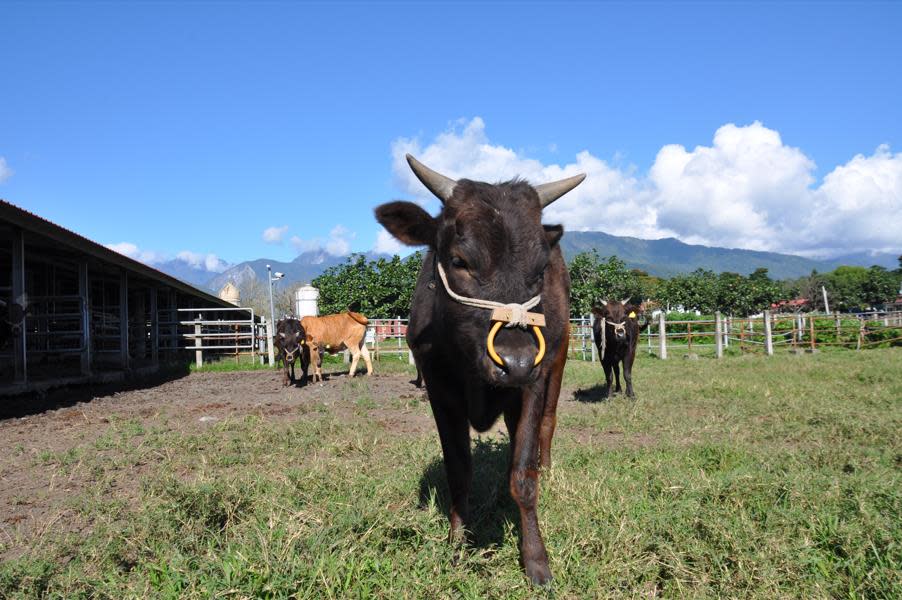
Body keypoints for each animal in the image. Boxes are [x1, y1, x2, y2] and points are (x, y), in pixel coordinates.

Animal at [374, 152, 588, 584]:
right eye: (460, 260)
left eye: (539, 270)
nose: (515, 361)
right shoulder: (439, 390)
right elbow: (459, 470)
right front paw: (457, 543)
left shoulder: (532, 383)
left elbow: (522, 475)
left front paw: (535, 558)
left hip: (556, 362)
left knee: (547, 424)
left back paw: (547, 466)